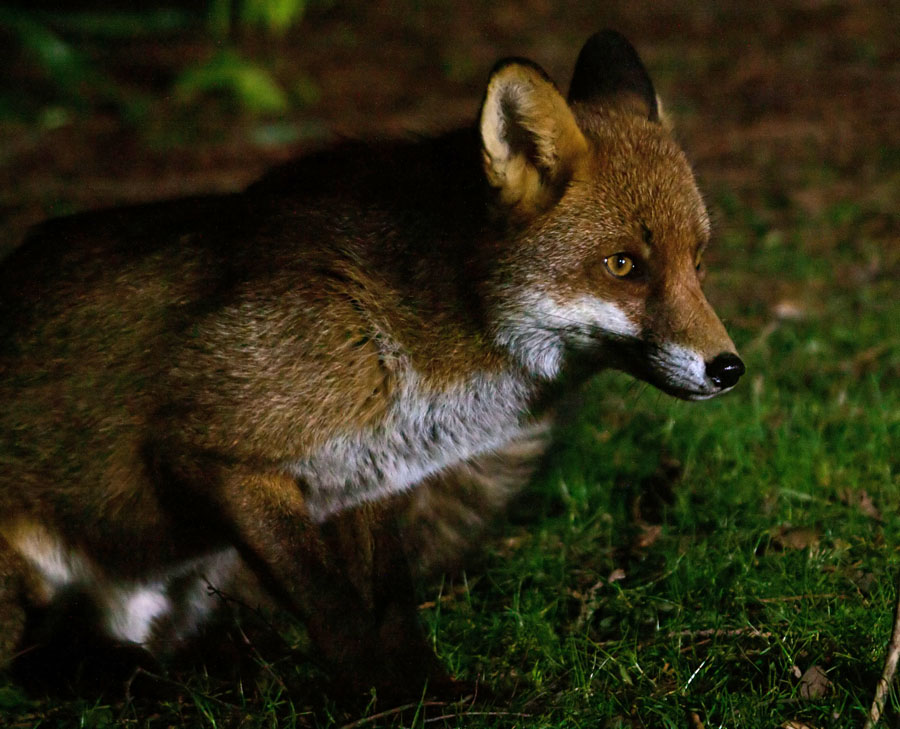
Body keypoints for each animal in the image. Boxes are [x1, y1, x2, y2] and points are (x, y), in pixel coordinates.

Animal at [0, 31, 744, 700]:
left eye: (697, 260)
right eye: (624, 266)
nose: (729, 369)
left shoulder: (367, 474)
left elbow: (393, 608)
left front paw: (430, 694)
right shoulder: (216, 449)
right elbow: (337, 612)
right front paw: (375, 701)